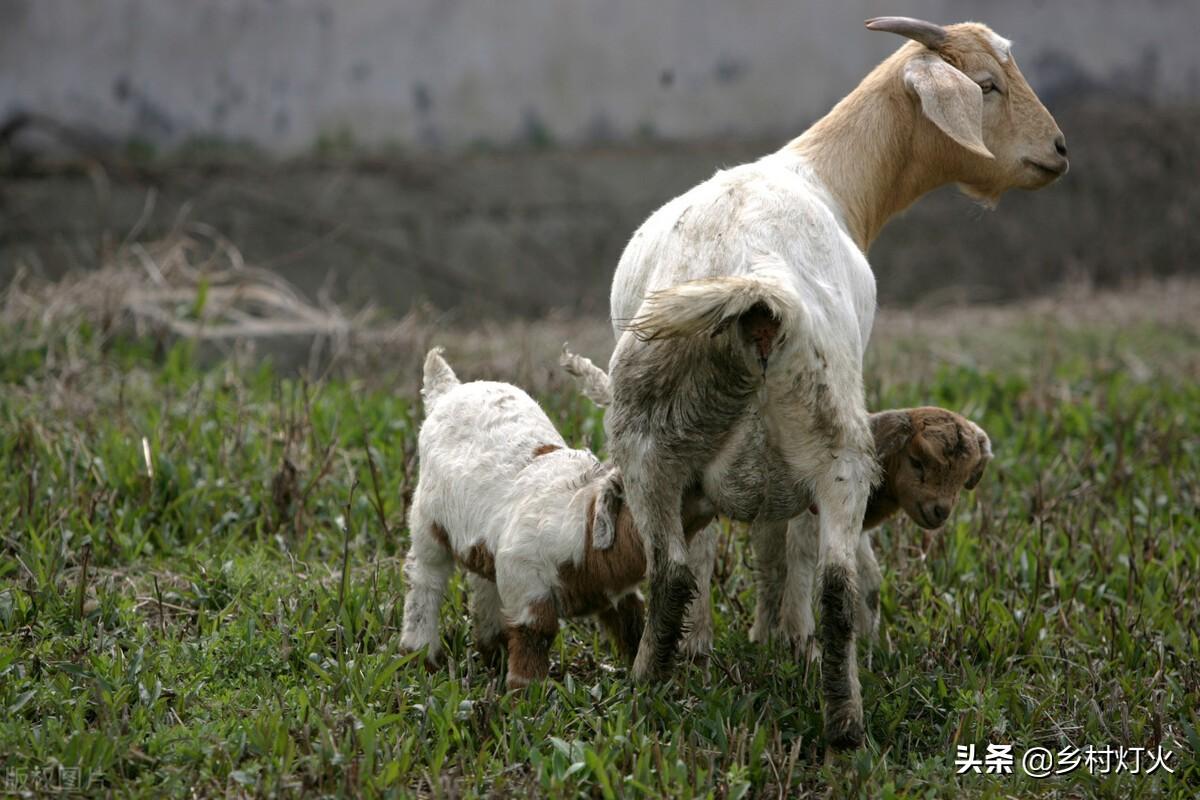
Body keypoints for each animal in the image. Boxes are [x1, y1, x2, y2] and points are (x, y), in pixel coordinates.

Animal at [604, 17, 1065, 753]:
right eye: (987, 85)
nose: (1058, 150)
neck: (831, 177)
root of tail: (755, 292)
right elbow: (783, 544)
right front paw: (783, 640)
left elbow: (733, 547)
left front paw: (731, 644)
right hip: (833, 432)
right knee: (835, 582)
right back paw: (844, 722)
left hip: (646, 438)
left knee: (673, 570)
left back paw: (651, 683)